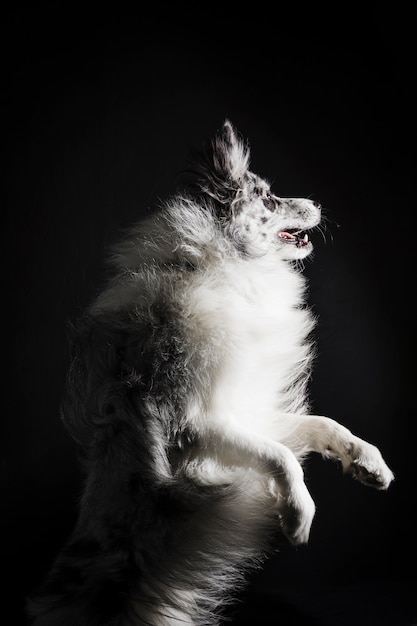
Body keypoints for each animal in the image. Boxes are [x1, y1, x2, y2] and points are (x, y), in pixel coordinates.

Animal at [28, 119, 394, 620]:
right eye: (269, 199)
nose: (318, 204)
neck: (226, 268)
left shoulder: (245, 412)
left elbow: (322, 424)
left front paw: (368, 461)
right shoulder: (194, 425)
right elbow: (280, 457)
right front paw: (298, 515)